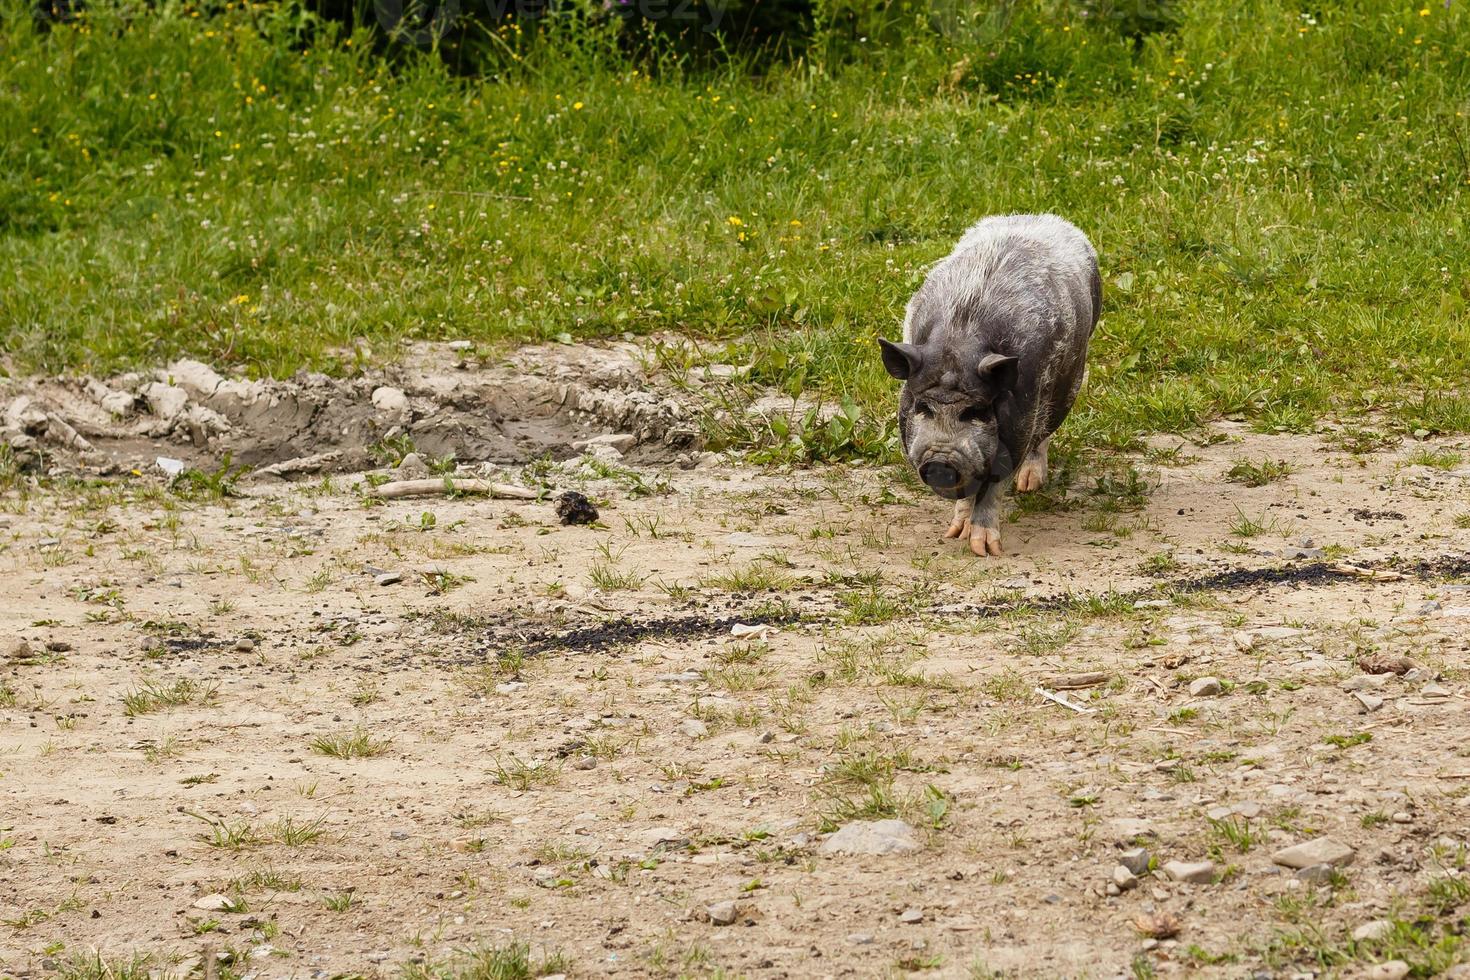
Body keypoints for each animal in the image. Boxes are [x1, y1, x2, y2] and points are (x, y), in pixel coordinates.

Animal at [876, 213, 1099, 555]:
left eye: (976, 412)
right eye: (922, 407)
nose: (941, 459)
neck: (959, 341)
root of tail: (1044, 218)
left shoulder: (1021, 413)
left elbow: (995, 484)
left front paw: (985, 550)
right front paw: (954, 534)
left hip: (1070, 376)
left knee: (1045, 430)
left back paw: (1029, 486)